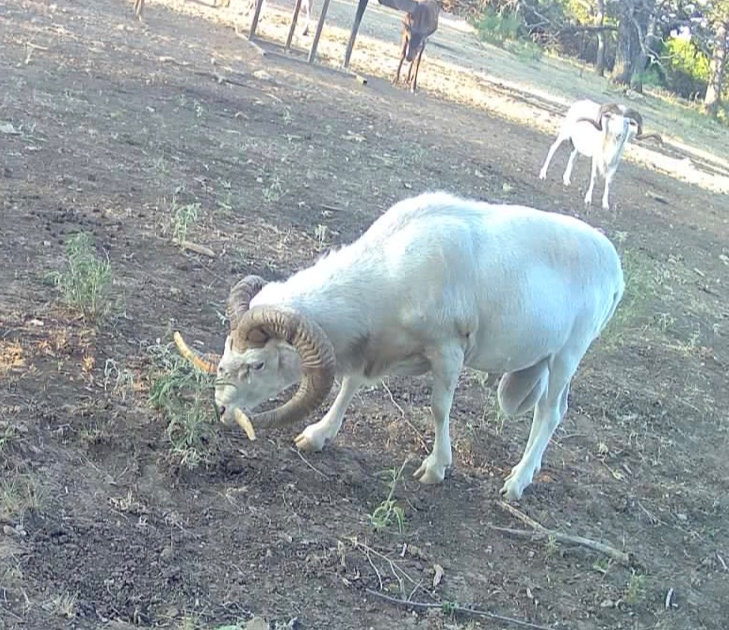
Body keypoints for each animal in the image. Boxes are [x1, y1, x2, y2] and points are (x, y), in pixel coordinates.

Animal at [175, 191, 624, 501]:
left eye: (258, 364)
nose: (220, 410)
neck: (388, 267)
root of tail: (616, 267)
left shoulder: (448, 352)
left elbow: (439, 409)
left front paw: (435, 469)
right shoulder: (372, 349)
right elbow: (349, 385)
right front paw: (317, 436)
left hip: (567, 355)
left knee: (549, 414)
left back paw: (517, 483)